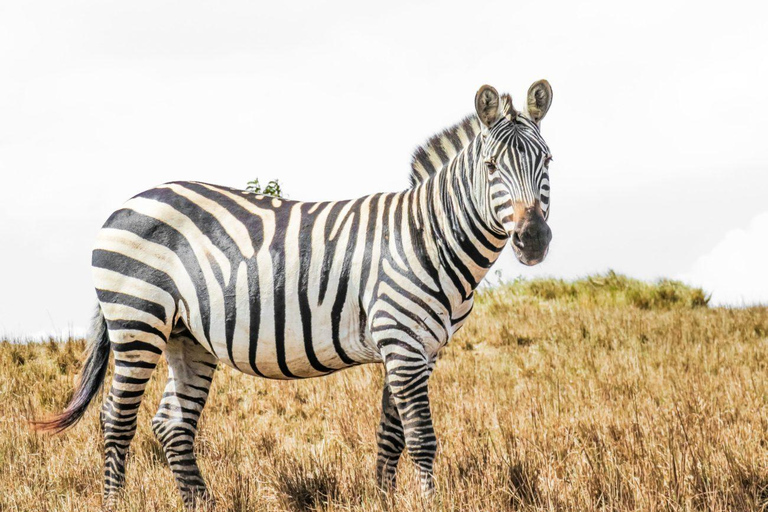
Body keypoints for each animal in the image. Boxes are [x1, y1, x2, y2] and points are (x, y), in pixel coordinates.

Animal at [36, 81, 556, 508]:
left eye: (547, 161)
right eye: (491, 166)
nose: (533, 239)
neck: (426, 235)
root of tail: (127, 203)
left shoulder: (419, 349)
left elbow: (392, 435)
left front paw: (385, 499)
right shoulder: (402, 341)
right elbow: (422, 437)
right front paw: (431, 503)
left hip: (188, 336)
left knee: (172, 424)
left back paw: (201, 504)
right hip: (137, 319)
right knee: (116, 418)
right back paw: (114, 502)